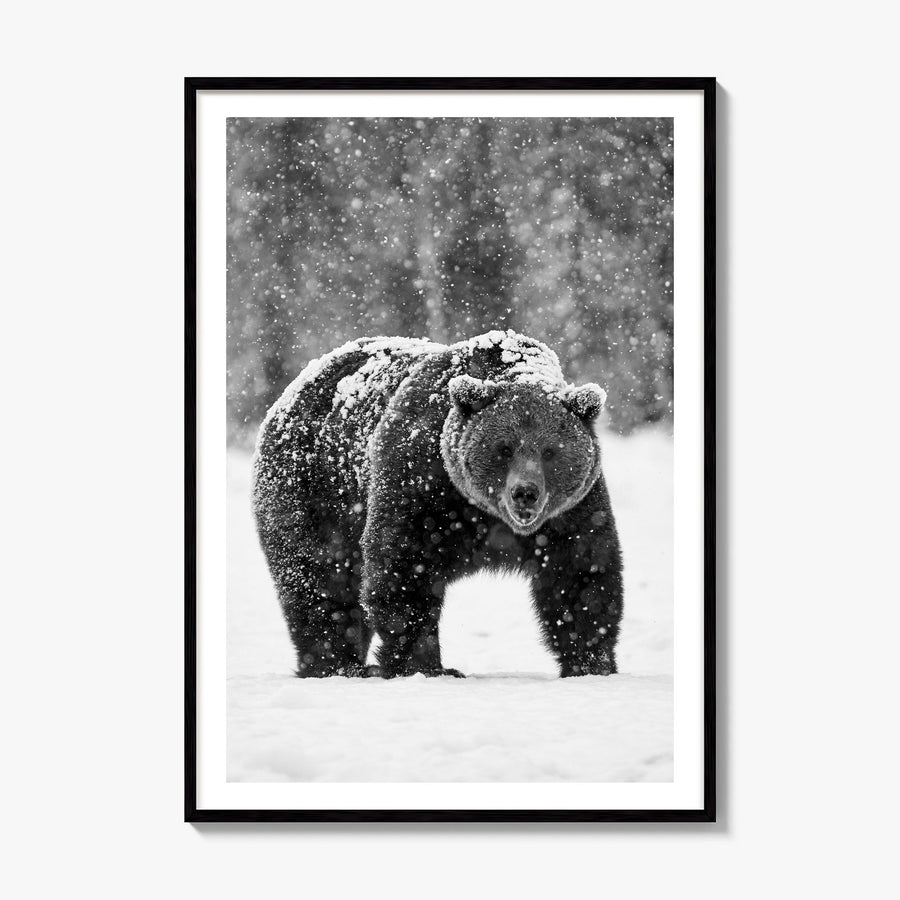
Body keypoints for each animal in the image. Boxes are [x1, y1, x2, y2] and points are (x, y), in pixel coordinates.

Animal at [252, 330, 623, 679]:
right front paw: (426, 666)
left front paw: (591, 663)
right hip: (315, 492)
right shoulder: (421, 484)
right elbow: (403, 570)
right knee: (321, 580)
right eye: (504, 448)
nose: (525, 492)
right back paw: (338, 665)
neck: (486, 515)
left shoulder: (572, 512)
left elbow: (581, 575)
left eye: (550, 452)